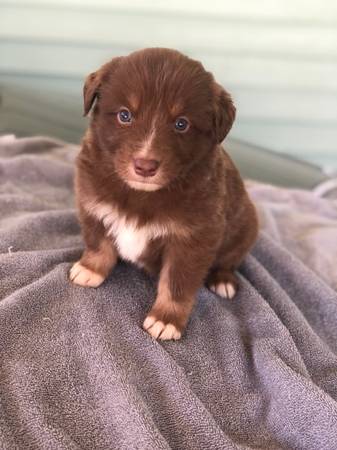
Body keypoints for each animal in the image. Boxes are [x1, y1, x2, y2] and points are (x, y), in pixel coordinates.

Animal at [69, 46, 256, 342]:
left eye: (181, 124)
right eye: (125, 115)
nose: (145, 166)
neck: (142, 194)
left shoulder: (193, 239)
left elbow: (177, 283)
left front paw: (166, 319)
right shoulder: (93, 205)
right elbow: (98, 243)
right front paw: (90, 269)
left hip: (244, 228)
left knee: (230, 259)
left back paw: (223, 281)